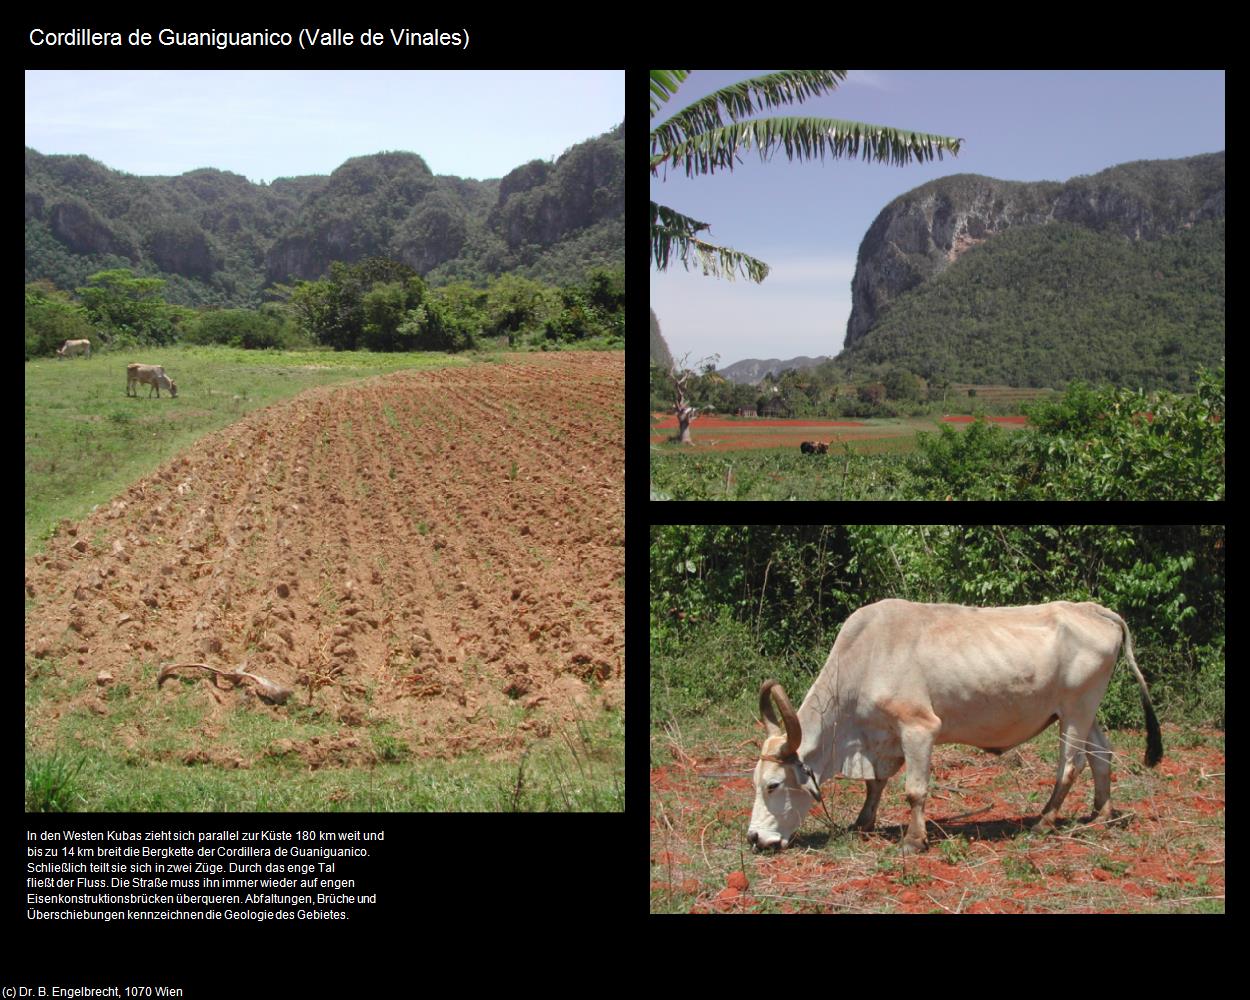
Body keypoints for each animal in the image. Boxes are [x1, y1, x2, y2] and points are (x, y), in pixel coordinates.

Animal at [740, 597, 1160, 855]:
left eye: (773, 785)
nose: (755, 838)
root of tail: (1095, 610)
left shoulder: (918, 728)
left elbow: (914, 790)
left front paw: (913, 841)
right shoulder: (881, 738)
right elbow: (875, 783)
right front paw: (863, 823)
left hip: (1075, 711)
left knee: (1070, 765)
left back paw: (1044, 821)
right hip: (1085, 712)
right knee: (1101, 755)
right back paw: (1102, 813)